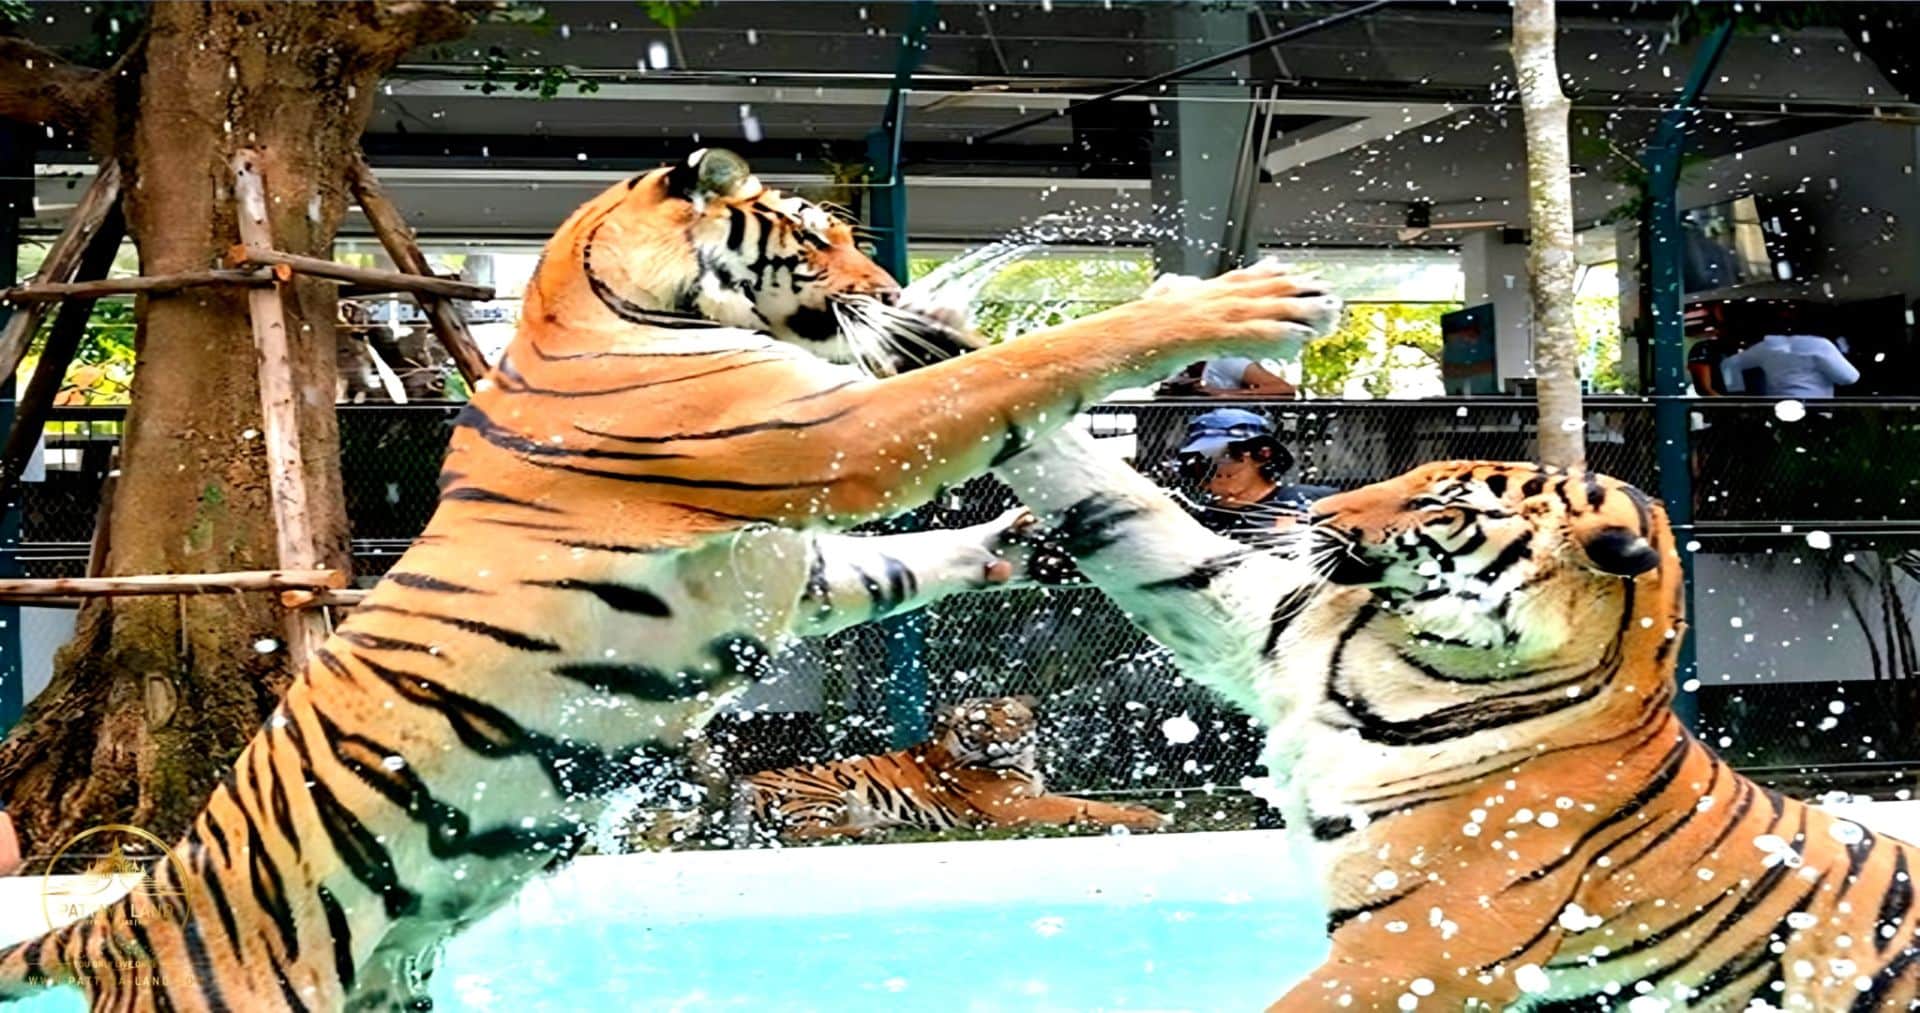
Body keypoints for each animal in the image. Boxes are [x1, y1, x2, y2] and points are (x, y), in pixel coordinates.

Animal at [733, 695, 1167, 842]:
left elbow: (1092, 803)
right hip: (819, 790)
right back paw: (871, 831)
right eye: (980, 725)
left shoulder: (1035, 794)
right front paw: (1152, 818)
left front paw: (1141, 809)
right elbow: (1085, 807)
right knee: (798, 833)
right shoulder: (1017, 806)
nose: (1002, 743)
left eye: (1013, 720)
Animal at [989, 441, 1920, 1011]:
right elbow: (1126, 510)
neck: (1392, 658)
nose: (1319, 512)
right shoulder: (1251, 615)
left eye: (1439, 503)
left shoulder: (1412, 953)